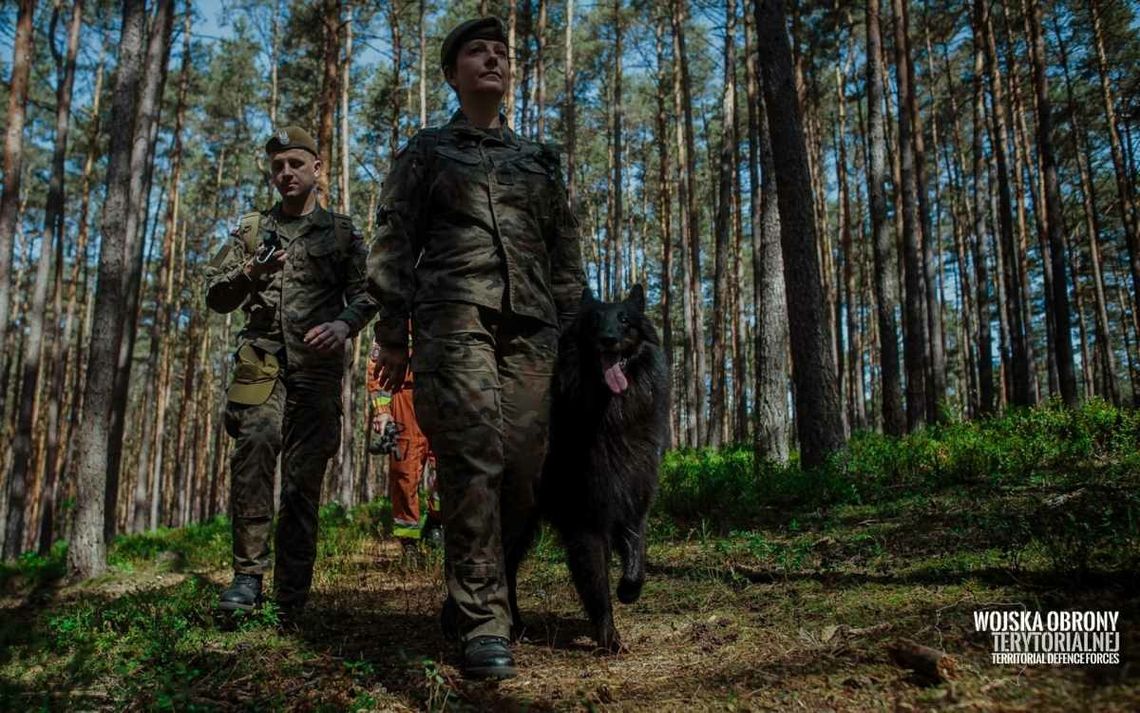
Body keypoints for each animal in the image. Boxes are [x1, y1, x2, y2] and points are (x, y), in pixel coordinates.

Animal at [531, 284, 665, 652]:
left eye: (625, 320)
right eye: (594, 321)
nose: (608, 339)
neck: (611, 416)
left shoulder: (633, 502)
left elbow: (637, 556)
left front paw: (628, 590)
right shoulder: (586, 521)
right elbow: (596, 585)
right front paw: (609, 637)